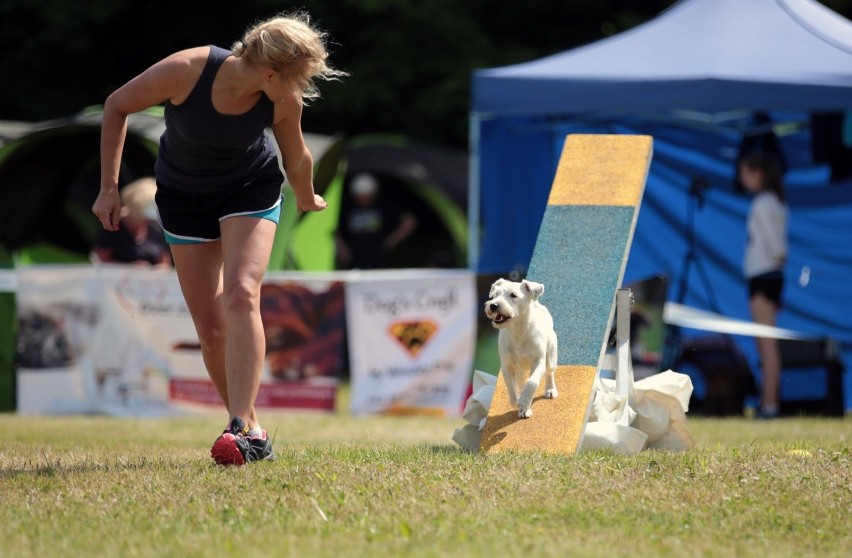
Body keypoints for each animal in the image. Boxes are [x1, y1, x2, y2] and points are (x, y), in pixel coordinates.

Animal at [486, 280, 560, 420]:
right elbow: (511, 385)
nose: (493, 305)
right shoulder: (507, 365)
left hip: (551, 356)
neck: (518, 331)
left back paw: (550, 390)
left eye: (513, 295)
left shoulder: (538, 362)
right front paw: (516, 402)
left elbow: (532, 382)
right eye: (495, 295)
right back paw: (523, 409)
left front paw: (524, 402)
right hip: (520, 370)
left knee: (549, 372)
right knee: (521, 383)